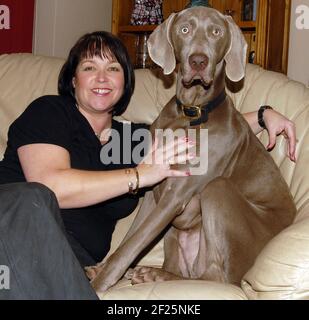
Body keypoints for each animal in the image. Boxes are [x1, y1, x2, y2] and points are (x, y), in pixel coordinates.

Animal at [85, 6, 294, 294]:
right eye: (185, 29)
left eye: (216, 32)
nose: (198, 61)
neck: (190, 113)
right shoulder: (154, 191)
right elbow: (131, 238)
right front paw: (103, 269)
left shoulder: (175, 195)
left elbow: (130, 246)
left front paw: (99, 283)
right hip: (177, 235)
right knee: (183, 269)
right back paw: (152, 273)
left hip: (218, 191)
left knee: (217, 276)